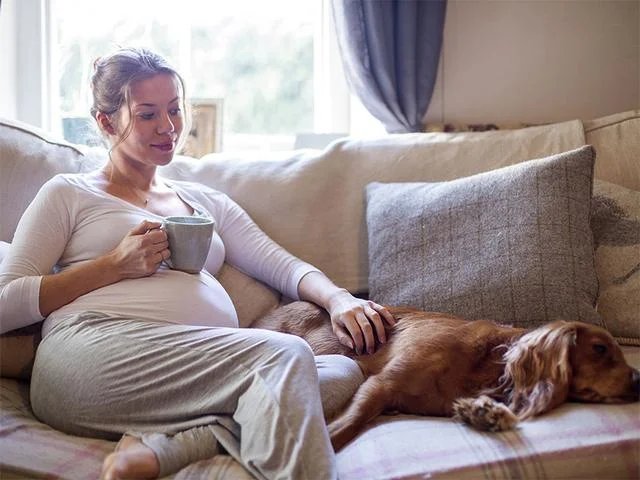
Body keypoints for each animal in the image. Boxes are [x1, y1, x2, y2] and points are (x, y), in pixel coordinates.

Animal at [252, 302, 640, 452]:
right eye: (600, 349)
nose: (639, 381)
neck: (487, 364)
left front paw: (485, 413)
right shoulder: (380, 385)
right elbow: (350, 422)